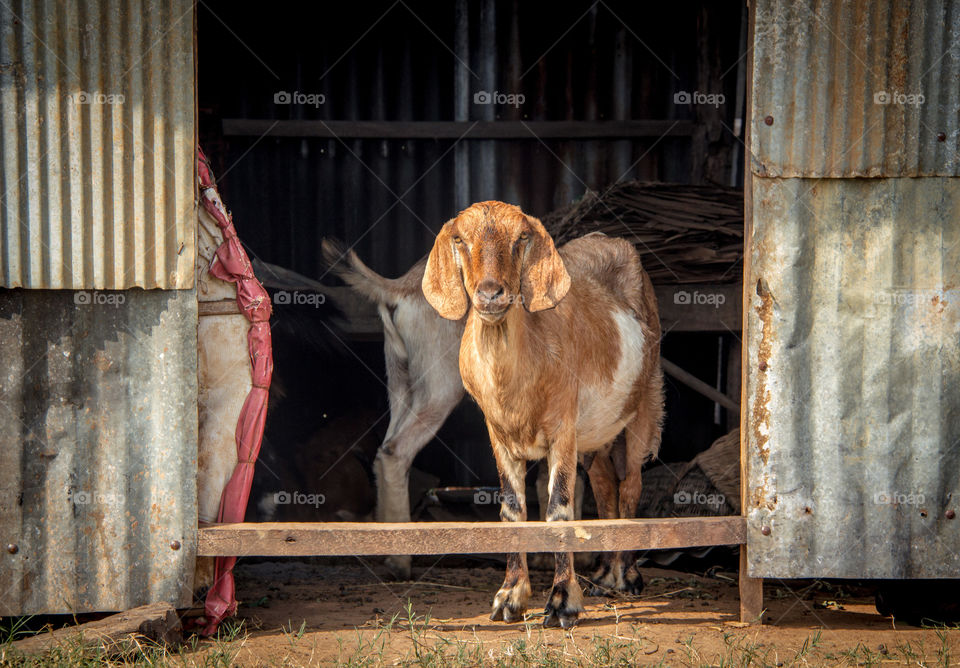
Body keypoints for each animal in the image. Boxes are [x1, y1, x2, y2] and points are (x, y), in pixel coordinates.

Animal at [424, 201, 664, 628]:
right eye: (459, 239)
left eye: (522, 237)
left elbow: (559, 508)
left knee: (631, 484)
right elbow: (512, 510)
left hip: (643, 406)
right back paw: (604, 575)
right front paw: (510, 598)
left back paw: (628, 575)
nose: (490, 293)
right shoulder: (499, 435)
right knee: (604, 485)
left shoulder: (562, 429)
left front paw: (563, 602)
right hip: (596, 431)